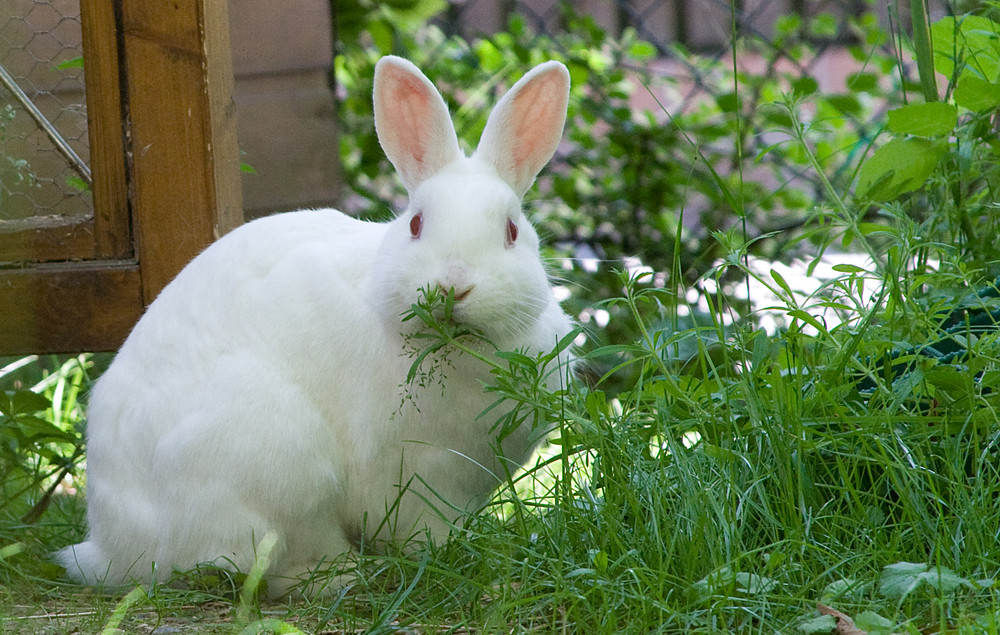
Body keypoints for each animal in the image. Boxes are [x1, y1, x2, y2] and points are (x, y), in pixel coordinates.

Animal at [58, 54, 576, 596]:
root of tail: (110, 548)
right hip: (279, 466)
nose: (453, 285)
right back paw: (345, 575)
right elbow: (422, 528)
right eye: (416, 225)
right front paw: (455, 554)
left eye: (512, 231)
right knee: (262, 562)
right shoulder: (414, 475)